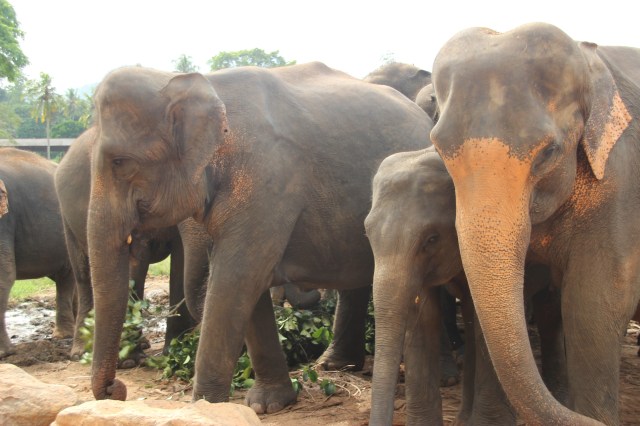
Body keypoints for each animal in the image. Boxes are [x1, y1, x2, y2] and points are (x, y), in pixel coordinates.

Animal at [54, 129, 196, 363]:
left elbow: (182, 259)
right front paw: (129, 360)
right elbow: (132, 259)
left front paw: (175, 352)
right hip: (66, 218)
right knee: (83, 275)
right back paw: (81, 351)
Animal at [84, 62, 431, 412]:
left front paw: (208, 409)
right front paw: (267, 405)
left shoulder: (269, 181)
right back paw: (335, 366)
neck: (202, 85)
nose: (117, 388)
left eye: (120, 162)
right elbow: (246, 284)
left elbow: (238, 276)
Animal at [430, 22, 640, 425]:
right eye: (439, 150)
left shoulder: (621, 180)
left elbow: (595, 301)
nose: (589, 422)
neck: (589, 63)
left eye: (548, 153)